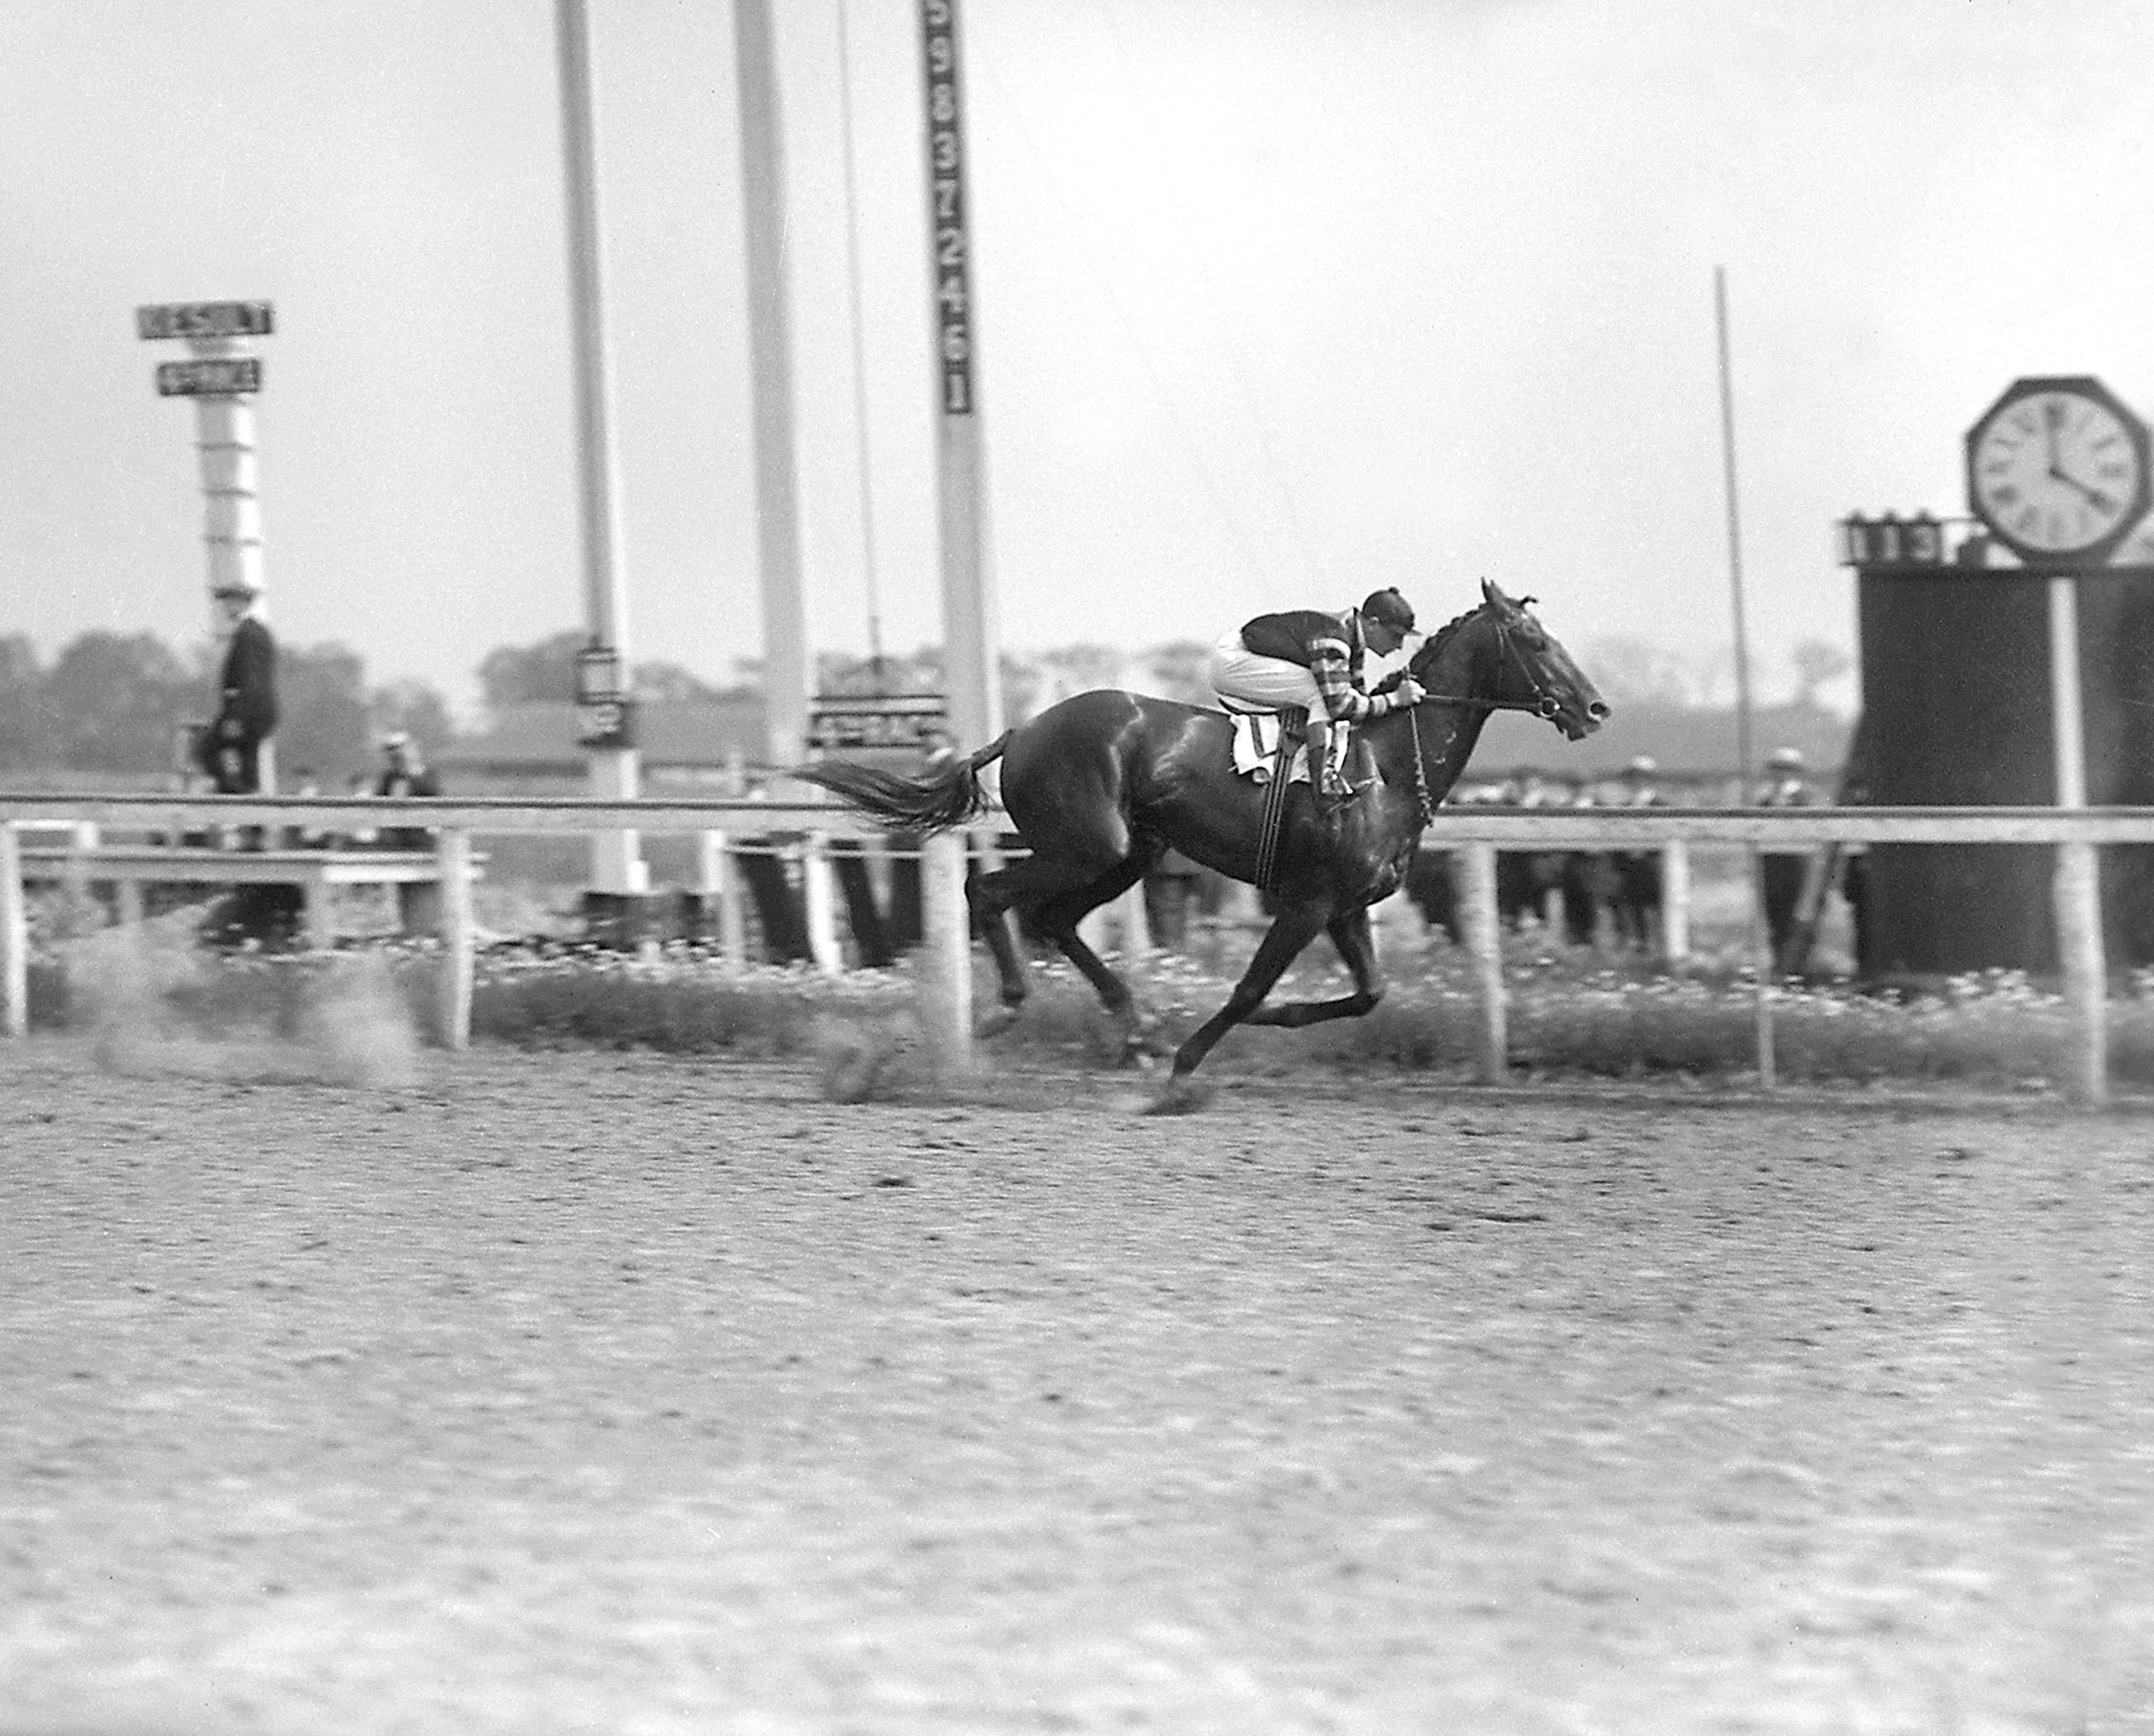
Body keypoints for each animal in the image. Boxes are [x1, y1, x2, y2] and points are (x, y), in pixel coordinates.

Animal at [801, 581, 1611, 1102]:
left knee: (1052, 918)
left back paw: (1134, 1029)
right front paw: (1191, 1060)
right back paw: (1009, 1008)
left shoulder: (1347, 906)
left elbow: (1369, 994)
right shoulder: (1308, 901)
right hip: (1089, 847)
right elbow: (1253, 985)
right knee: (989, 890)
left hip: (1133, 853)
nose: (1597, 708)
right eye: (1533, 641)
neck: (1382, 765)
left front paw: (1258, 1024)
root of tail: (1023, 728)